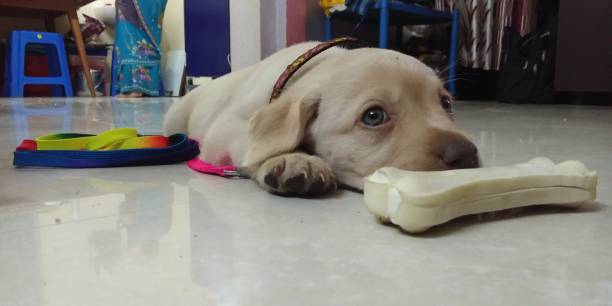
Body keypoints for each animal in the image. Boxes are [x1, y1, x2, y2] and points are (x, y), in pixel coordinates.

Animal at [163, 41, 478, 196]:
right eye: (374, 116)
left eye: (446, 103)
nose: (467, 154)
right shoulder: (223, 130)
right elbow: (250, 139)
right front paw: (293, 158)